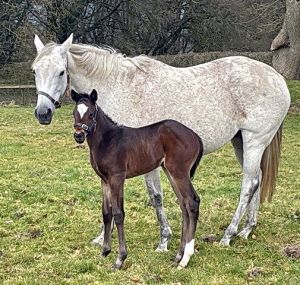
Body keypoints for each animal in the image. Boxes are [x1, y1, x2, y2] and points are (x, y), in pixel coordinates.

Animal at [32, 33, 290, 248]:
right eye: (35, 71)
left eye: (61, 72)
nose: (43, 113)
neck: (118, 87)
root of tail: (277, 79)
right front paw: (101, 237)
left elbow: (155, 196)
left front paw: (164, 239)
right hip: (240, 143)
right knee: (257, 179)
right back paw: (247, 229)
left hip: (255, 141)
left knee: (249, 184)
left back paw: (228, 234)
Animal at [71, 89, 203, 268]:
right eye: (74, 113)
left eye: (91, 114)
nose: (78, 135)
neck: (107, 140)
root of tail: (194, 135)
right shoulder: (104, 180)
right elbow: (106, 213)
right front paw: (104, 252)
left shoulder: (117, 177)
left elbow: (118, 213)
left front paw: (120, 259)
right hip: (171, 172)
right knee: (184, 205)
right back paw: (178, 256)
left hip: (179, 172)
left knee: (192, 202)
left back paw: (185, 259)